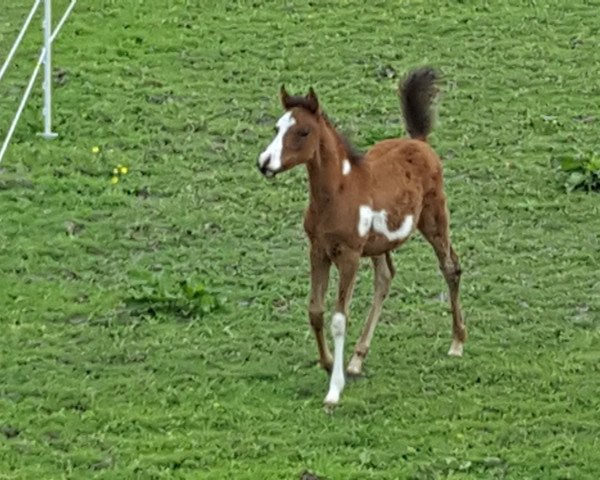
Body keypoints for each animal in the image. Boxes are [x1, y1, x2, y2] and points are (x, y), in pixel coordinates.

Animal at [255, 65, 466, 406]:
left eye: (303, 132)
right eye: (276, 127)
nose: (264, 163)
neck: (338, 193)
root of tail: (419, 142)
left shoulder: (350, 256)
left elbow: (339, 318)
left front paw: (334, 390)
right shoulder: (318, 251)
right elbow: (315, 311)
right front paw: (330, 363)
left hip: (434, 220)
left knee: (450, 268)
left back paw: (457, 342)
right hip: (379, 246)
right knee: (385, 278)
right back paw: (356, 359)